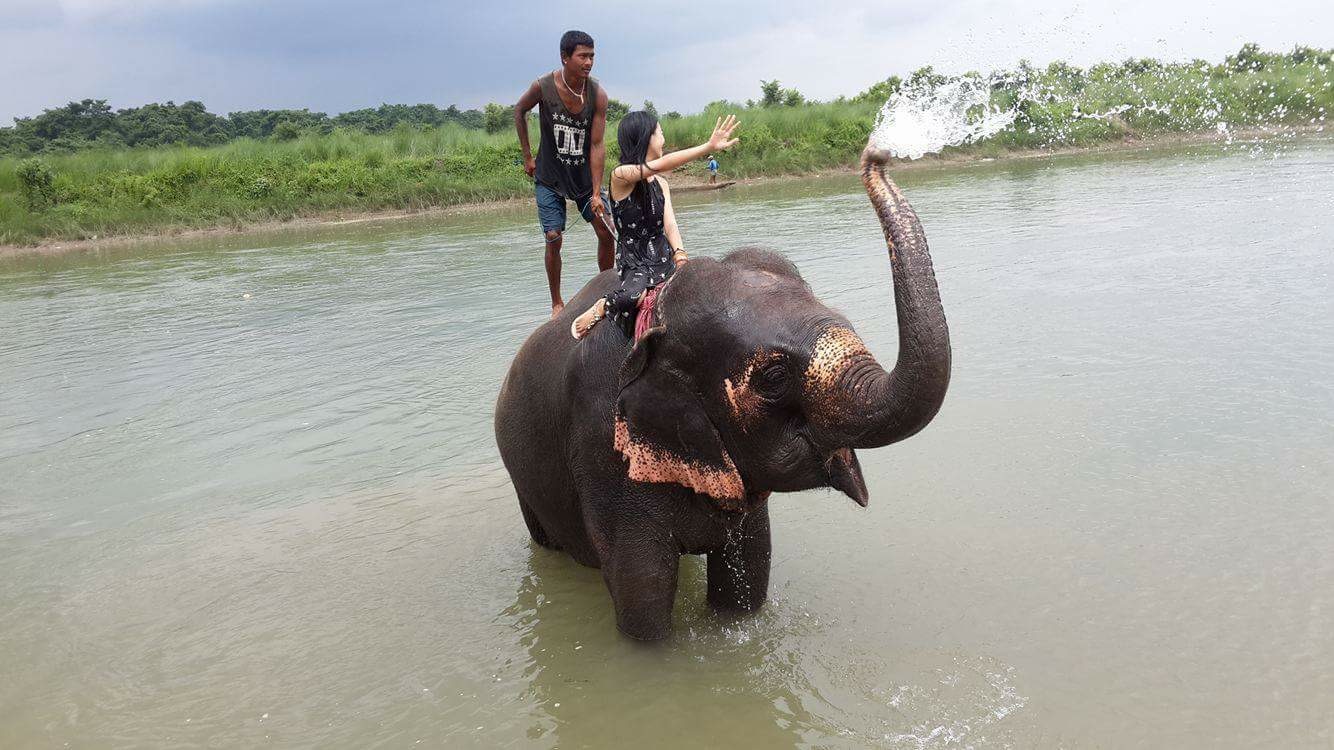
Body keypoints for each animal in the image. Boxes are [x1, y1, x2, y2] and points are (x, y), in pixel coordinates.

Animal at [493, 144, 949, 635]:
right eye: (774, 378)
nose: (877, 154)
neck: (654, 322)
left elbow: (748, 573)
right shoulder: (602, 450)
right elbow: (643, 596)